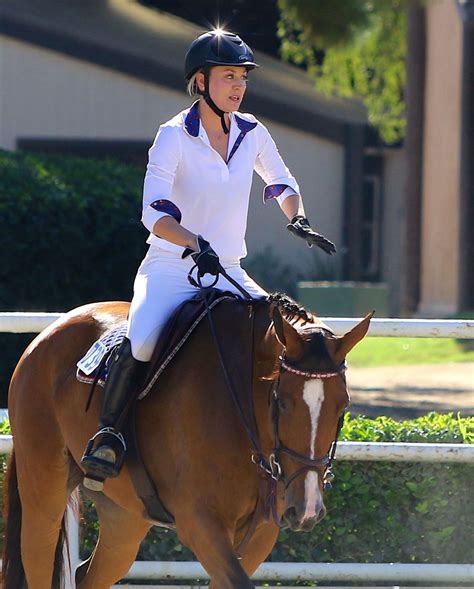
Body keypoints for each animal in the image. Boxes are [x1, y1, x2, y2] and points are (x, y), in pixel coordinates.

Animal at [1, 290, 372, 588]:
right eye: (281, 401)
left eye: (343, 406)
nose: (307, 509)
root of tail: (47, 334)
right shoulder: (200, 523)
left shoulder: (261, 533)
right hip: (44, 493)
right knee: (37, 559)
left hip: (125, 518)